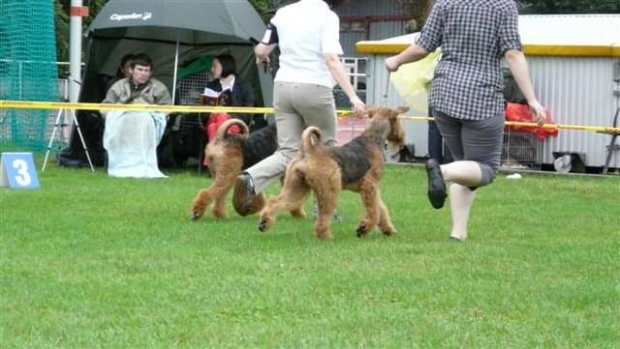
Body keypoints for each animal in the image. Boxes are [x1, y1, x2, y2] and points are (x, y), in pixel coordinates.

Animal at [256, 105, 406, 237]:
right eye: (398, 119)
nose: (402, 139)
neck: (372, 139)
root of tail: (309, 150)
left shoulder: (372, 188)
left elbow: (381, 209)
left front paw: (389, 230)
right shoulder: (369, 186)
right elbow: (374, 212)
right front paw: (364, 229)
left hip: (296, 187)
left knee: (276, 202)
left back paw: (264, 223)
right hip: (330, 190)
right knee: (323, 217)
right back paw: (326, 236)